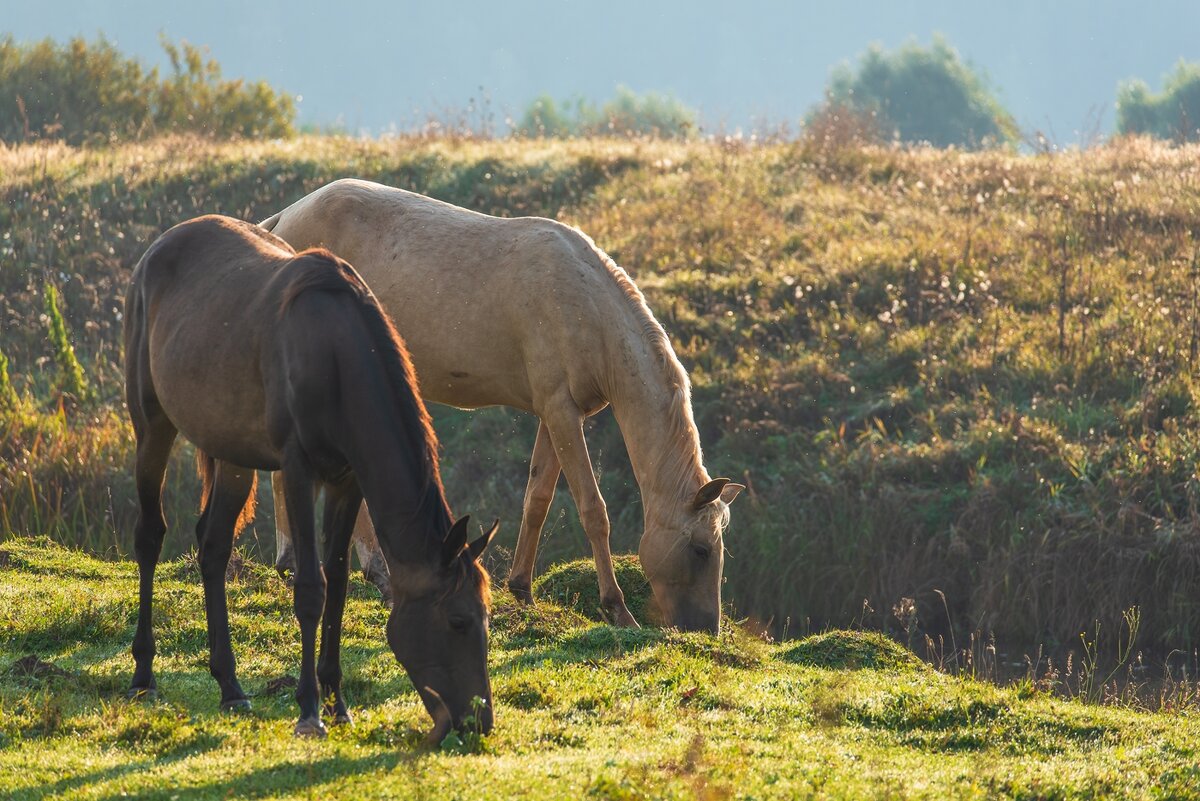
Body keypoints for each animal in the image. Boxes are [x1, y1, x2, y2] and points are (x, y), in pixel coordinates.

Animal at [123, 212, 496, 738]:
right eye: (458, 620)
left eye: (487, 617)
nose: (480, 720)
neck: (337, 357)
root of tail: (157, 250)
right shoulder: (298, 470)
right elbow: (311, 589)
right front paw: (309, 709)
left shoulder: (348, 480)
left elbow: (337, 584)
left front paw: (338, 702)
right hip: (152, 425)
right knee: (150, 537)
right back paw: (144, 674)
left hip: (234, 454)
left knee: (213, 547)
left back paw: (230, 685)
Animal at [262, 179, 739, 633]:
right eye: (700, 549)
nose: (705, 630)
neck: (588, 310)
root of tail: (284, 218)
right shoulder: (562, 414)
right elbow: (592, 509)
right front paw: (617, 608)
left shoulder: (557, 415)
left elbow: (538, 499)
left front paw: (522, 589)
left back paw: (311, 565)